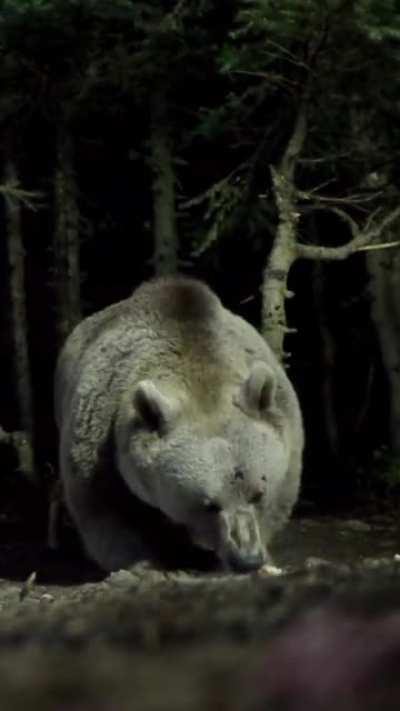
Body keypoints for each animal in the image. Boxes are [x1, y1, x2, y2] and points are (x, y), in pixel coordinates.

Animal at [54, 277, 303, 573]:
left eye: (258, 492)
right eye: (208, 504)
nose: (247, 560)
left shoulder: (288, 446)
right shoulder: (100, 442)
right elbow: (106, 513)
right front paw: (145, 561)